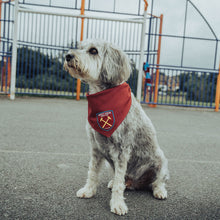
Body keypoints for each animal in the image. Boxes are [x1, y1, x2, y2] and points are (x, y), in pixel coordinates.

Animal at [63, 39, 168, 215]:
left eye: (93, 51)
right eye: (80, 47)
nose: (68, 56)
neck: (104, 96)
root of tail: (136, 182)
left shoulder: (121, 151)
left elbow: (119, 182)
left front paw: (117, 204)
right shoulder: (96, 148)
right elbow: (92, 172)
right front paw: (88, 190)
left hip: (160, 159)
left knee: (157, 180)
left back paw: (159, 190)